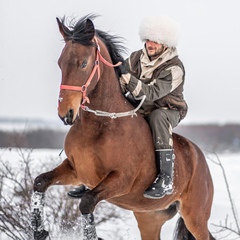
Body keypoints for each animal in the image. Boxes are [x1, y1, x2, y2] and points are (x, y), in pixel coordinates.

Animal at [30, 15, 216, 240]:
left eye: (83, 63)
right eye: (60, 63)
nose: (65, 113)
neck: (100, 127)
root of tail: (200, 159)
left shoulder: (121, 180)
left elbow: (86, 202)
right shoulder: (76, 170)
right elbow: (40, 182)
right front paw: (39, 231)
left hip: (195, 218)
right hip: (149, 217)